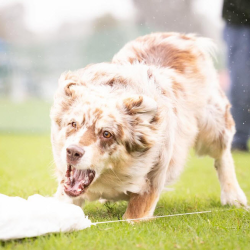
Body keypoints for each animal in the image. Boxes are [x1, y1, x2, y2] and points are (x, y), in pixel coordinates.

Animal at [49, 32, 247, 219]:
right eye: (73, 123)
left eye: (107, 134)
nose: (73, 152)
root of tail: (181, 36)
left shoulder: (151, 182)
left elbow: (131, 219)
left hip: (213, 127)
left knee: (223, 155)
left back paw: (233, 196)